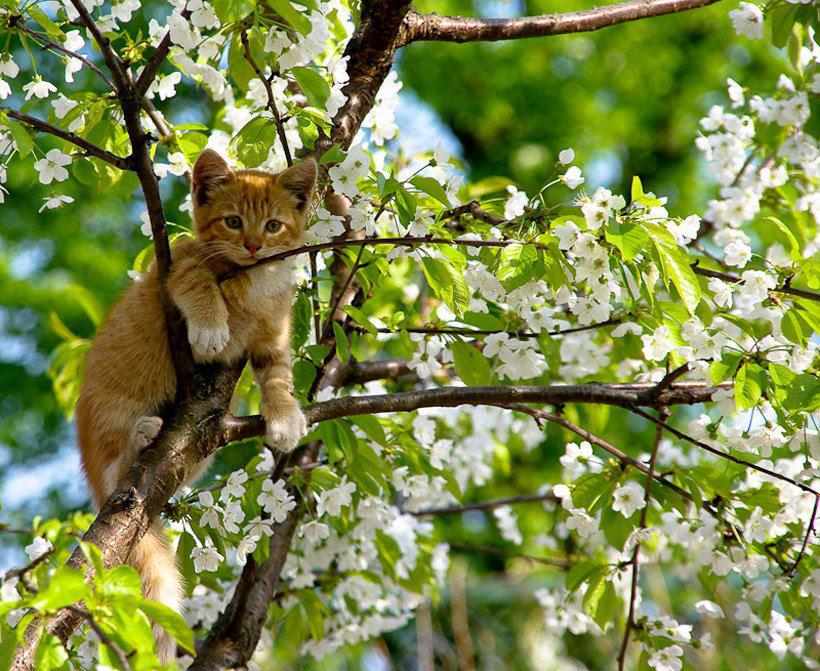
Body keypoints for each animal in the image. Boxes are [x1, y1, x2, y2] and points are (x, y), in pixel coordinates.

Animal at [75, 148, 318, 660]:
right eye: (232, 221)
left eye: (272, 226)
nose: (252, 246)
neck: (253, 281)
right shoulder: (176, 264)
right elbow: (197, 278)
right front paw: (210, 329)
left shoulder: (273, 337)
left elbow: (278, 376)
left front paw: (285, 416)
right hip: (109, 416)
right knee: (116, 469)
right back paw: (141, 434)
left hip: (197, 455)